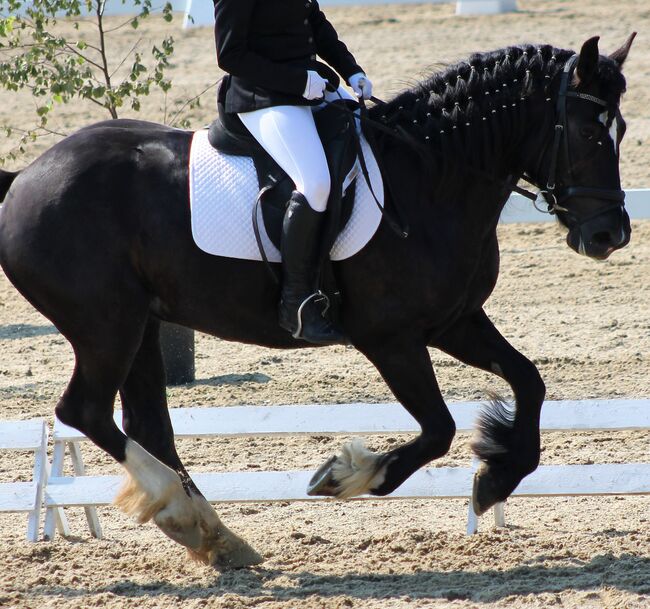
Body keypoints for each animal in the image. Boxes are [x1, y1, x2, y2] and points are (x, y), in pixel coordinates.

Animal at [0, 35, 632, 568]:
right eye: (588, 131)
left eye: (620, 128)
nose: (610, 235)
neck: (430, 180)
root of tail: (27, 177)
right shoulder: (391, 338)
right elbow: (439, 428)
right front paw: (349, 475)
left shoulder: (455, 321)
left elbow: (529, 382)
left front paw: (496, 477)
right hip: (106, 326)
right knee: (85, 411)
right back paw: (184, 512)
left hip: (142, 325)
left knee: (148, 424)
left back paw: (213, 535)